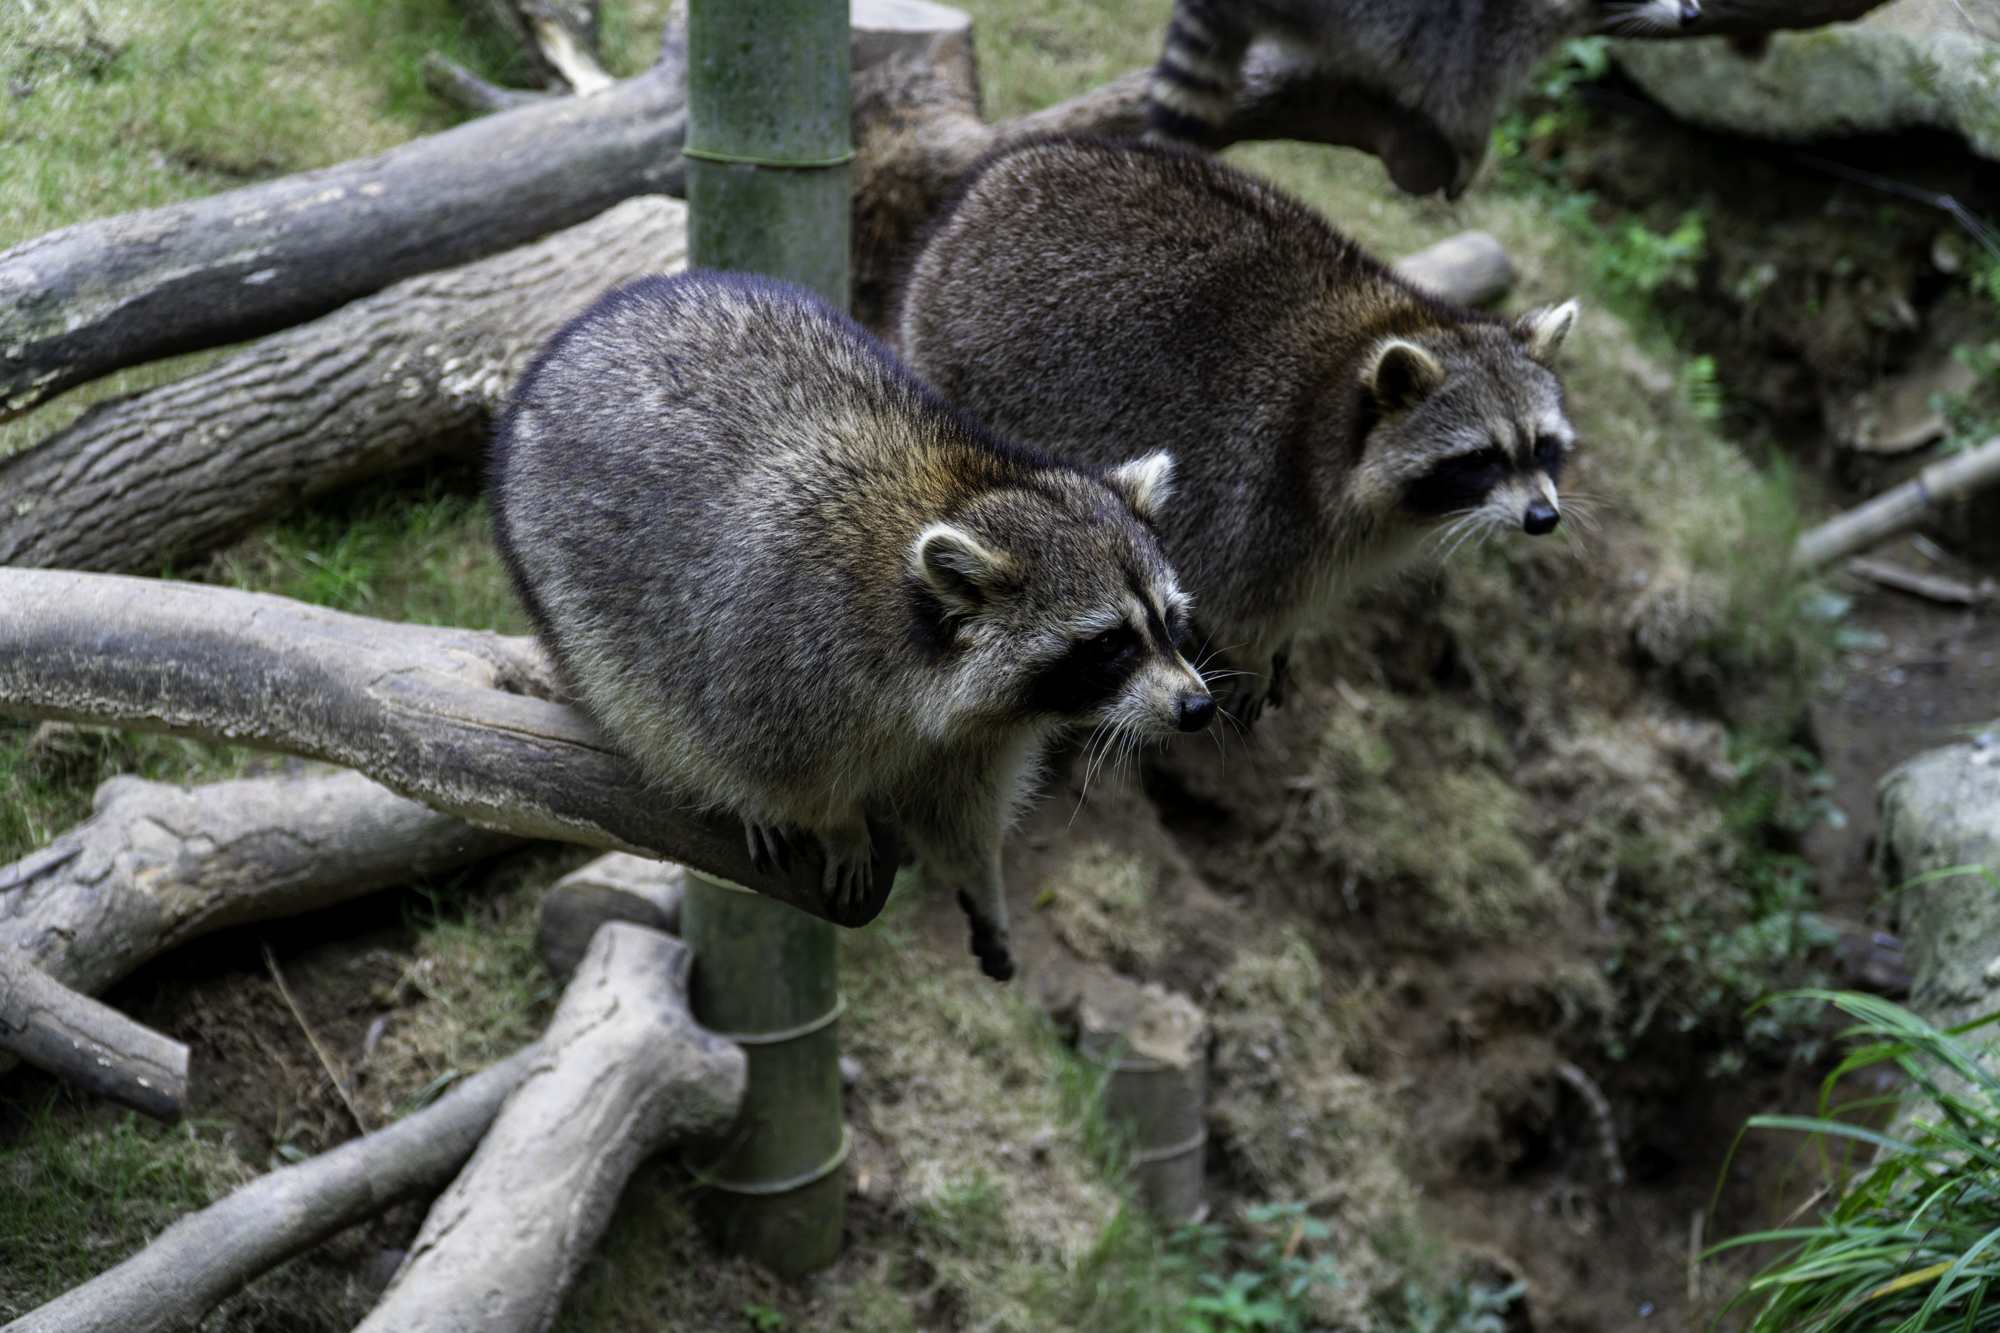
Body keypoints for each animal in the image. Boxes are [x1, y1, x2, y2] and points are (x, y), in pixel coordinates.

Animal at [496, 270, 1216, 976]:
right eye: (1110, 643)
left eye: (1170, 622)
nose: (1198, 707)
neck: (965, 491)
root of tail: (593, 321)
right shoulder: (779, 653)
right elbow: (778, 767)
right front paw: (836, 823)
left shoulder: (976, 738)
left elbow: (957, 814)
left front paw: (982, 883)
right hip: (564, 579)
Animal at [900, 140, 1584, 720]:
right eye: (1483, 457)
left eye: (1542, 447)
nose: (1543, 518)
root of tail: (981, 190)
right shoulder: (1261, 485)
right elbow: (1239, 595)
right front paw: (1255, 654)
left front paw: (1285, 642)